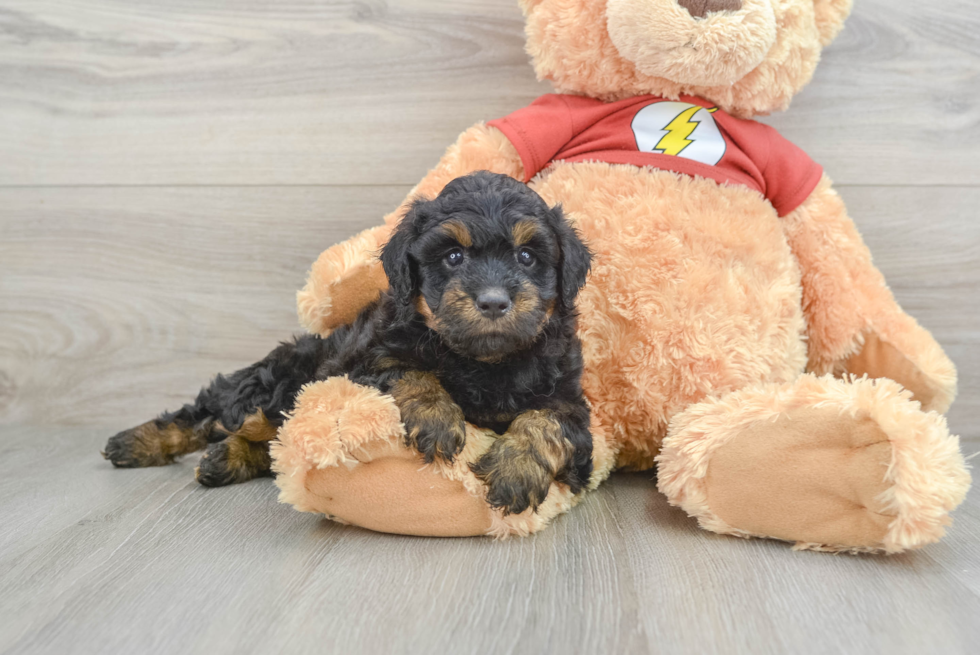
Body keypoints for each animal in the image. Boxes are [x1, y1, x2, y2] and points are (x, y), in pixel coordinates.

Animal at [108, 170, 596, 516]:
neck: (484, 360)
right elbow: (410, 372)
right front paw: (436, 418)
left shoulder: (572, 403)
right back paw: (137, 443)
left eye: (527, 256)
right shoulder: (369, 362)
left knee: (271, 442)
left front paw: (516, 470)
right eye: (453, 256)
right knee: (216, 414)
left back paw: (223, 459)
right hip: (273, 386)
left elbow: (546, 422)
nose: (493, 301)